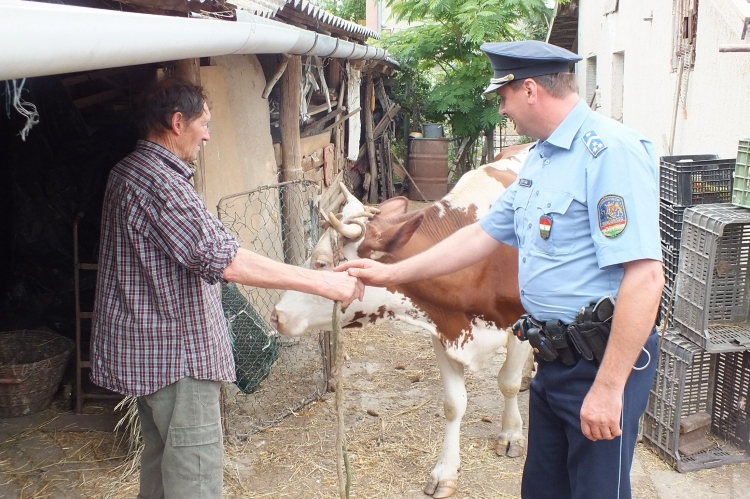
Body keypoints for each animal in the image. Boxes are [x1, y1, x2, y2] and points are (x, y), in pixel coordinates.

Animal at [274, 146, 532, 498]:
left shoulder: (520, 327)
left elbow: (507, 382)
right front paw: (445, 471)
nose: (277, 314)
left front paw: (510, 435)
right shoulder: (442, 329)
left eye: (322, 262)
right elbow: (454, 403)